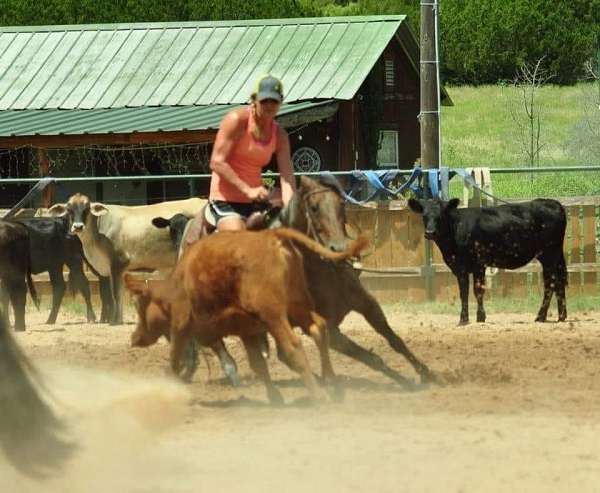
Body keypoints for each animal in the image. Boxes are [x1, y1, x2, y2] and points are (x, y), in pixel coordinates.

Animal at [125, 227, 366, 404]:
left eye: (139, 306)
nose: (134, 338)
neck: (177, 285)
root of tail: (272, 236)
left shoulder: (181, 326)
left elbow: (174, 360)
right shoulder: (247, 330)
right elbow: (257, 364)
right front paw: (274, 398)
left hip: (274, 314)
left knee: (293, 345)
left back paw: (320, 396)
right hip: (297, 306)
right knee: (319, 328)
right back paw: (333, 386)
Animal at [408, 198, 568, 324]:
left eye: (440, 216)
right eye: (424, 216)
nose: (430, 233)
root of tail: (553, 203)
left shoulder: (478, 264)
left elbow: (477, 290)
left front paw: (476, 318)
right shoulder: (460, 268)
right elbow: (464, 292)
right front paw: (466, 319)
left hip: (550, 254)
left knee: (551, 283)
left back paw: (541, 316)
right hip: (552, 256)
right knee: (559, 281)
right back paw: (561, 316)